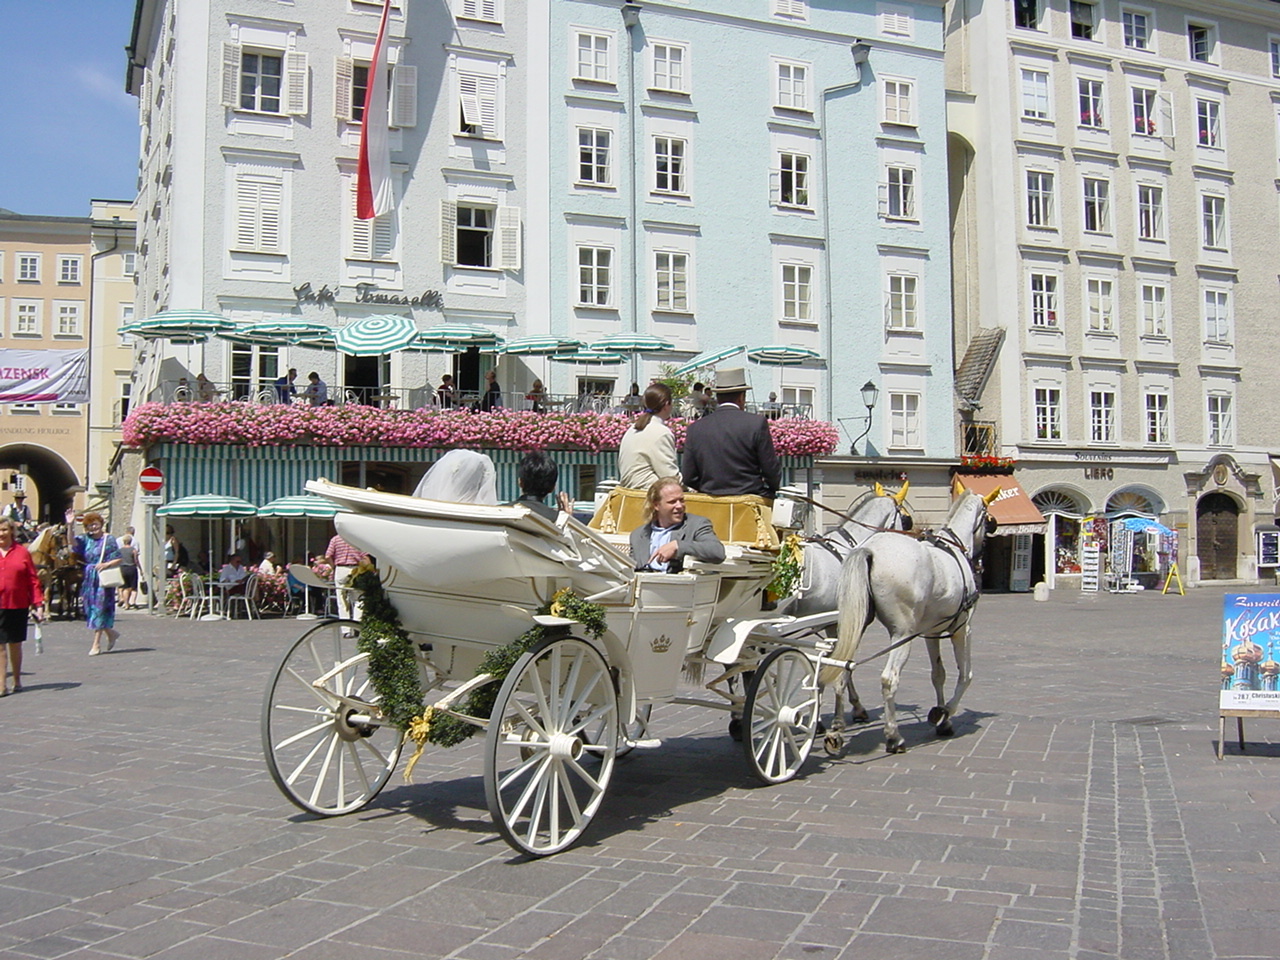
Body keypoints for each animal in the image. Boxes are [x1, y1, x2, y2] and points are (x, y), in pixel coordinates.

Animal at [819, 488, 998, 752]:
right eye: (988, 520)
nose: (980, 561)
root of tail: (869, 551)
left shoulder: (932, 632)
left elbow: (938, 674)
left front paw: (942, 718)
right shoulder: (962, 628)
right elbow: (965, 675)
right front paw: (946, 712)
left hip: (855, 626)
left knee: (841, 671)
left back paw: (837, 731)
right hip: (902, 635)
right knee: (889, 679)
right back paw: (894, 736)